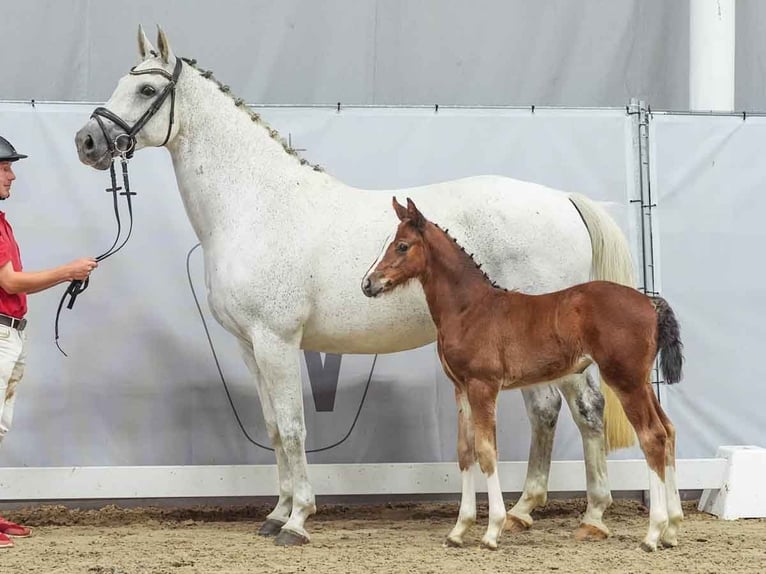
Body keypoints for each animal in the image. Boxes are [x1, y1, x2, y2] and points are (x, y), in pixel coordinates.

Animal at [75, 28, 640, 548]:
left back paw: (591, 515)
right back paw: (526, 511)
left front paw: (298, 521)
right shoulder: (249, 346)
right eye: (124, 81)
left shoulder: (276, 341)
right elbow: (275, 428)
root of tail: (562, 199)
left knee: (584, 409)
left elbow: (295, 427)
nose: (87, 142)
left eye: (147, 90)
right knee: (548, 411)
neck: (256, 204)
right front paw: (275, 514)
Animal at [364, 199, 688, 552]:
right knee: (669, 431)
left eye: (402, 245)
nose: (368, 283)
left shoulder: (483, 385)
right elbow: (465, 452)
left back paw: (653, 533)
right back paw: (672, 529)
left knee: (652, 436)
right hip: (642, 382)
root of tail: (649, 302)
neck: (469, 309)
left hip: (626, 381)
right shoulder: (461, 388)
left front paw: (492, 531)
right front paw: (459, 530)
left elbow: (486, 451)